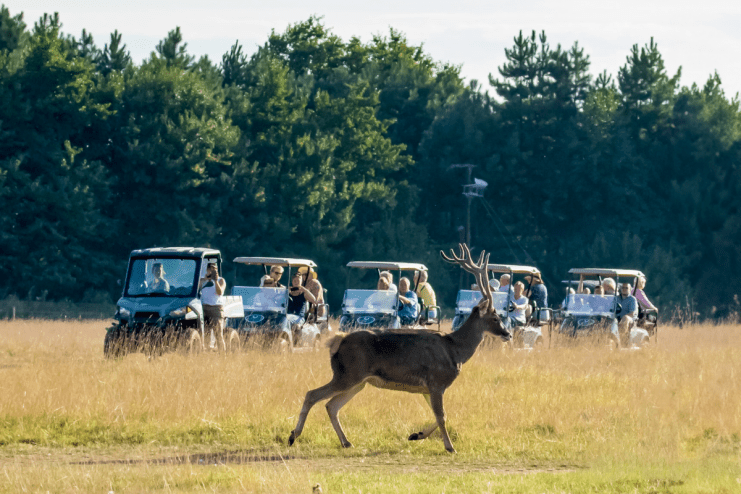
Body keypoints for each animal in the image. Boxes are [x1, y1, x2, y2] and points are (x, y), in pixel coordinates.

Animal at [287, 244, 511, 453]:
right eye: (495, 317)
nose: (507, 333)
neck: (455, 351)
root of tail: (336, 342)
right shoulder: (436, 381)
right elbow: (442, 416)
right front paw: (449, 447)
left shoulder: (428, 388)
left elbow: (440, 416)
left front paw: (416, 435)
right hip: (348, 374)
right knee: (312, 395)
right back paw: (293, 436)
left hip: (359, 381)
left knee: (331, 405)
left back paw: (346, 442)